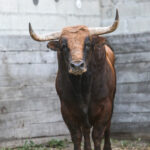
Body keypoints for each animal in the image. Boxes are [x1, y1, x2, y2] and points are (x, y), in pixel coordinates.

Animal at [28, 9, 119, 150]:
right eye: (64, 45)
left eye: (88, 44)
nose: (77, 65)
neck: (83, 87)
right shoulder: (67, 110)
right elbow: (77, 136)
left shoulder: (105, 108)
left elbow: (98, 135)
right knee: (86, 131)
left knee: (107, 128)